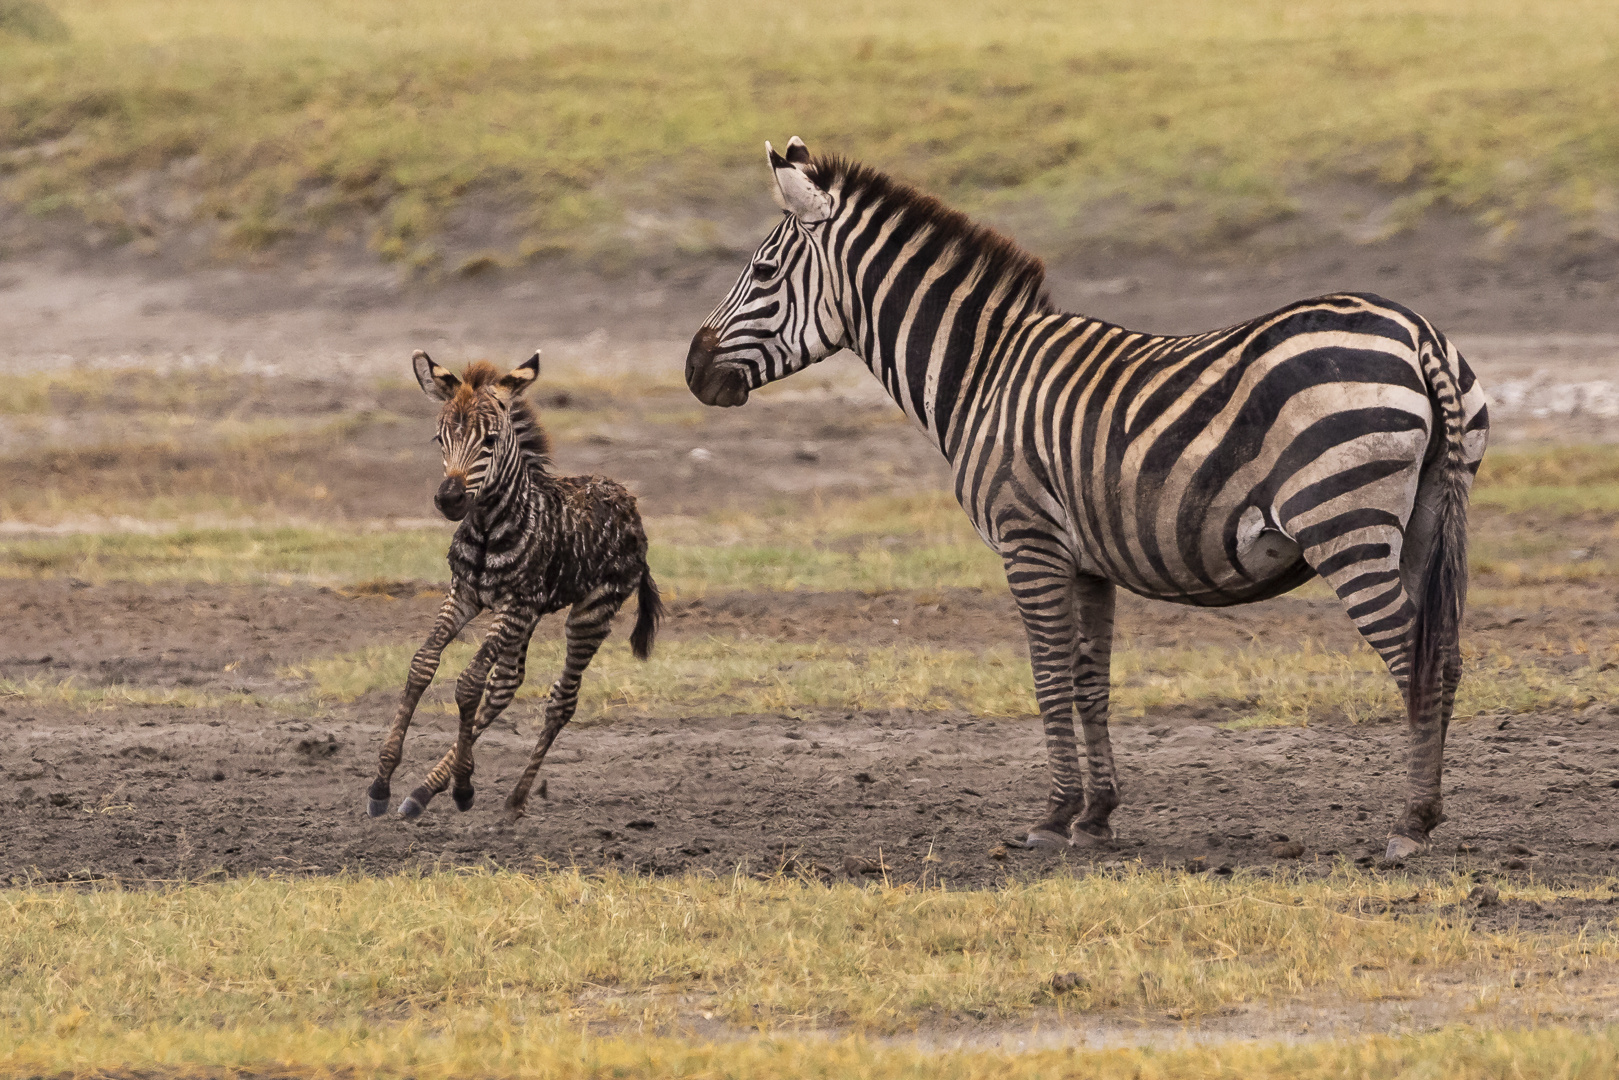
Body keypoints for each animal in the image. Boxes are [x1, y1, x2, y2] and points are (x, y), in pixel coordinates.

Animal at [370, 352, 660, 819]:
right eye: (438, 439)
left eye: (489, 441)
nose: (449, 500)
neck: (489, 528)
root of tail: (627, 499)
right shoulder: (464, 594)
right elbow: (422, 664)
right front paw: (381, 783)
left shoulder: (511, 604)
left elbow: (469, 682)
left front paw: (464, 787)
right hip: (532, 614)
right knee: (506, 683)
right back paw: (424, 791)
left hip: (591, 612)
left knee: (561, 699)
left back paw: (515, 799)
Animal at [683, 137, 1489, 861]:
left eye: (761, 270)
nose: (693, 371)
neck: (982, 374)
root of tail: (1416, 332)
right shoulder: (1088, 560)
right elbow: (1088, 682)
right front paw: (1097, 817)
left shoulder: (1026, 540)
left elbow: (1045, 678)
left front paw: (1051, 816)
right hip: (1425, 518)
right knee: (1442, 655)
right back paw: (1425, 813)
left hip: (1343, 523)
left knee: (1409, 657)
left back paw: (1408, 825)